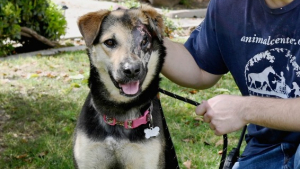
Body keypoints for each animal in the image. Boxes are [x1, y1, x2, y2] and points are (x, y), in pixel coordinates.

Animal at [73, 4, 177, 168]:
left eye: (144, 41)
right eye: (110, 42)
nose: (132, 70)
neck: (120, 112)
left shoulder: (147, 159)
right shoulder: (88, 159)